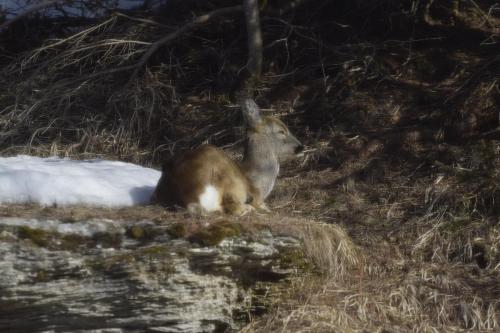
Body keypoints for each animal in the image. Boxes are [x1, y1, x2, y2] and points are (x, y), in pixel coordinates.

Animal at [150, 97, 302, 214]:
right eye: (281, 131)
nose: (301, 146)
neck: (257, 181)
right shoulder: (254, 195)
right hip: (230, 182)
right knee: (233, 207)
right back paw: (248, 208)